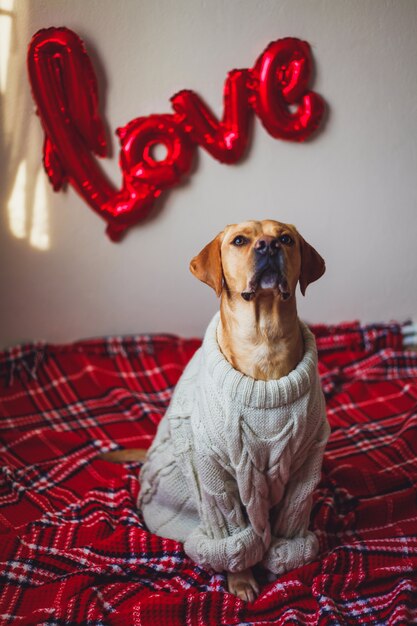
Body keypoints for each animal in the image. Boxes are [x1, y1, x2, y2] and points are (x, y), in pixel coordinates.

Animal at [101, 219, 328, 600]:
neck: (264, 344)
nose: (268, 246)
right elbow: (234, 536)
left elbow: (290, 519)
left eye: (285, 239)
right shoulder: (213, 473)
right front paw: (242, 579)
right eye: (239, 241)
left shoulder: (305, 464)